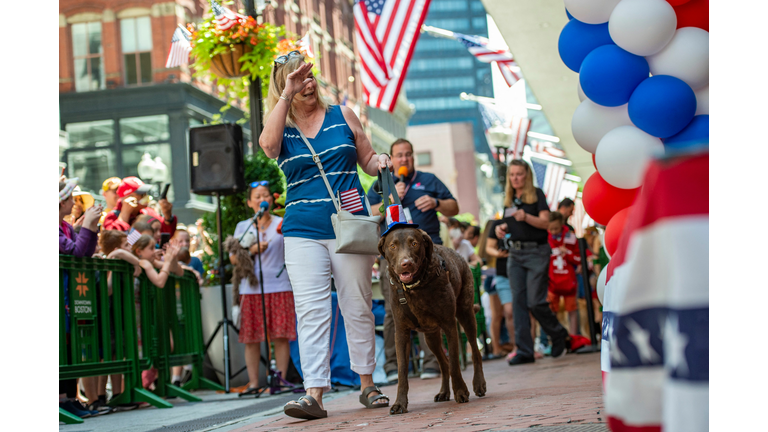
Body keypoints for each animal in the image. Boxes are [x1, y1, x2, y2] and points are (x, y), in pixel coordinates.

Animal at [378, 226, 486, 416]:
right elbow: (402, 371)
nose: (406, 263)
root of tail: (458, 254)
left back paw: (478, 384)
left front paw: (460, 391)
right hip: (431, 337)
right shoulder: (401, 332)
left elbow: (455, 363)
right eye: (392, 246)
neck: (414, 287)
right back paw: (444, 392)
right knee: (443, 363)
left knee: (474, 350)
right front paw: (400, 403)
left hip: (466, 314)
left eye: (414, 243)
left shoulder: (449, 325)